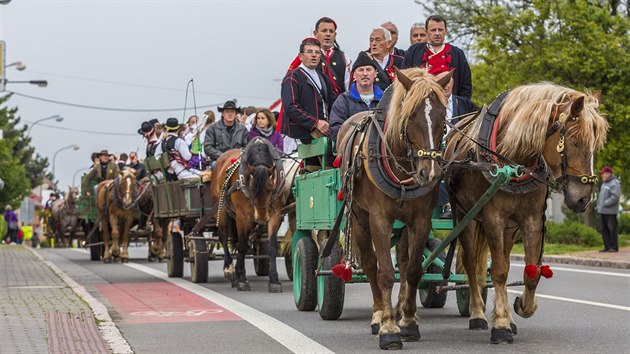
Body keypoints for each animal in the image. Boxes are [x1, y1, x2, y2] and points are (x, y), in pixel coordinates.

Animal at [212, 138, 292, 294]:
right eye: (252, 189)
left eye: (270, 188)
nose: (261, 218)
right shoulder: (242, 216)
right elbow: (242, 246)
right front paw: (242, 280)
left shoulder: (275, 214)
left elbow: (272, 246)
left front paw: (274, 281)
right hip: (222, 209)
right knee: (223, 236)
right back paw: (230, 270)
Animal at [338, 68, 452, 350]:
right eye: (410, 116)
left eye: (442, 118)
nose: (429, 173)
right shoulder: (379, 218)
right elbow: (385, 272)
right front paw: (389, 329)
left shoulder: (420, 220)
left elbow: (412, 270)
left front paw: (409, 322)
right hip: (359, 217)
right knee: (370, 265)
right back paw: (379, 314)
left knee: (402, 257)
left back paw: (400, 310)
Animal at [446, 83, 608, 342]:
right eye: (574, 141)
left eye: (594, 144)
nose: (583, 199)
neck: (513, 162)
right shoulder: (493, 219)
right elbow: (499, 271)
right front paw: (501, 325)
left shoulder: (531, 220)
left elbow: (531, 272)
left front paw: (521, 307)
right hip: (465, 217)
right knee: (471, 265)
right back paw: (478, 314)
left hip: (509, 229)